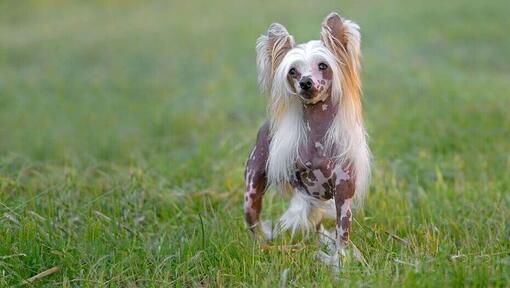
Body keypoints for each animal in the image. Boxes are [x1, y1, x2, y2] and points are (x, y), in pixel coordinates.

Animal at [243, 11, 370, 268]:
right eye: (293, 71)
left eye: (323, 65)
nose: (305, 82)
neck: (318, 134)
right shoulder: (301, 185)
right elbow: (305, 206)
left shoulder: (343, 192)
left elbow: (342, 231)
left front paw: (340, 260)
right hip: (251, 192)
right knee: (255, 223)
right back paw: (262, 247)